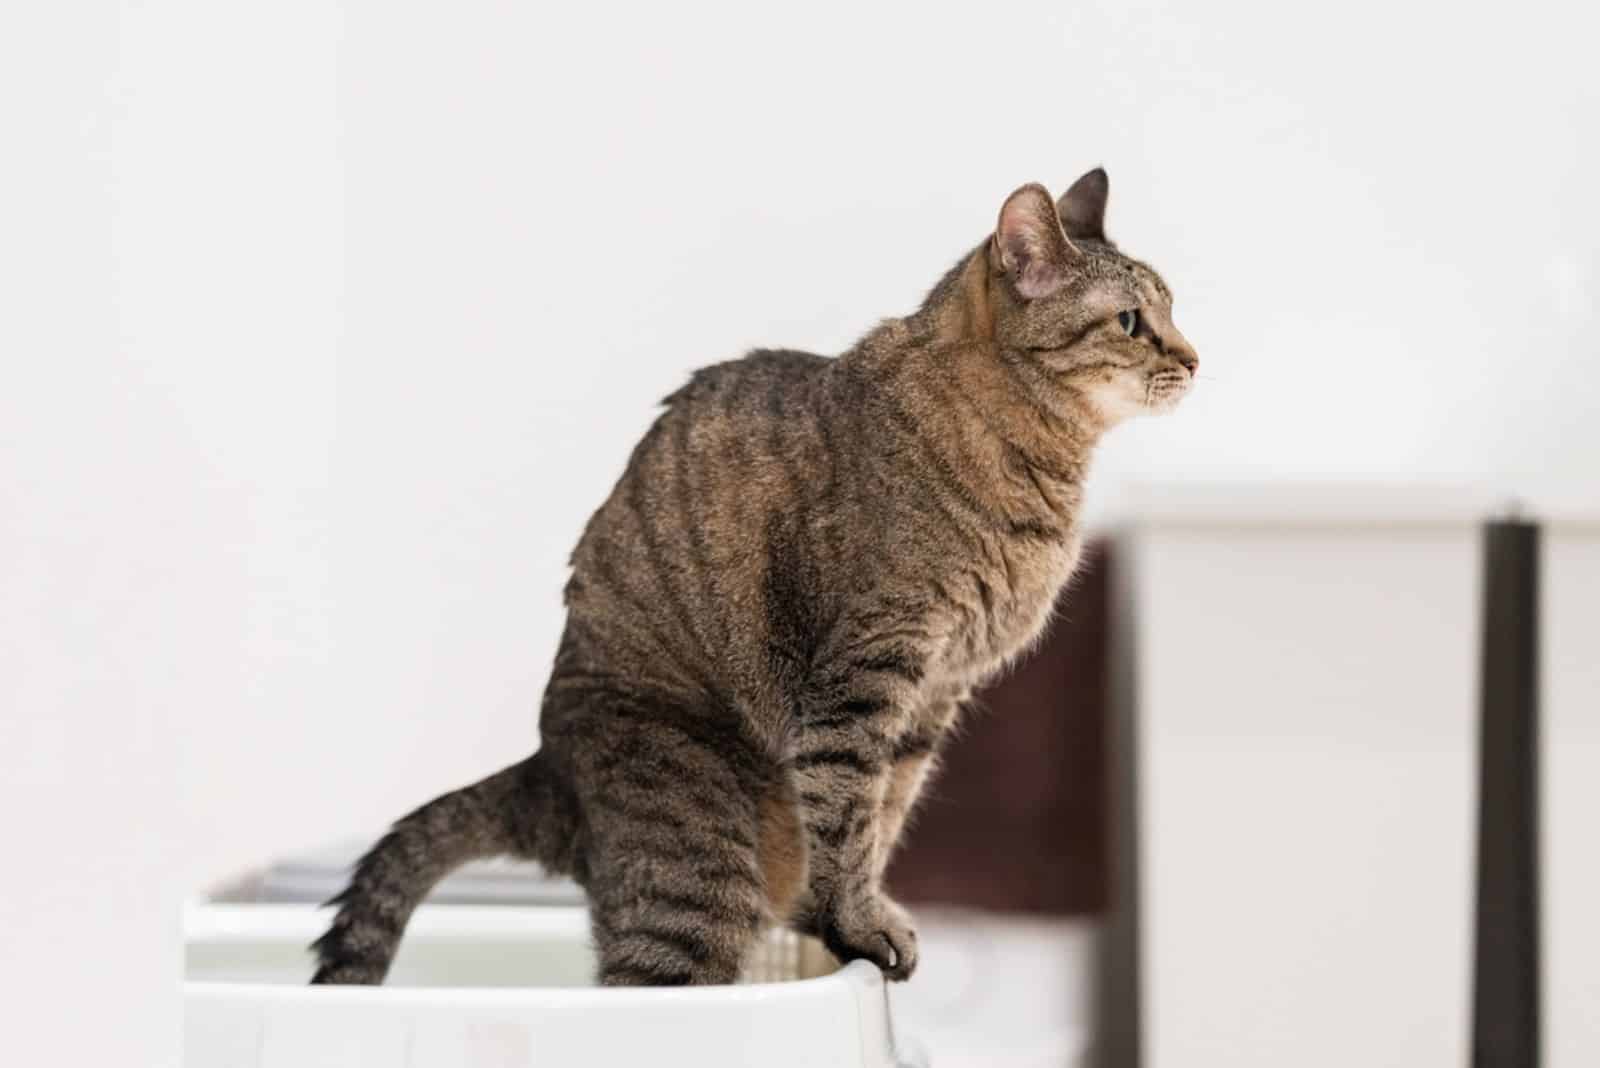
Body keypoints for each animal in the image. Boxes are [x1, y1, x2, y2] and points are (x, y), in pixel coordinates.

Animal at [312, 171, 1196, 991]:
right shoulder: (865, 674)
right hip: (694, 853)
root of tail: (547, 770)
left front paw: (855, 917)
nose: (1194, 357)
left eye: (1173, 311)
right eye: (1131, 321)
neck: (1036, 457)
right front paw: (858, 923)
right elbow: (847, 809)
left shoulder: (934, 695)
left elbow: (885, 813)